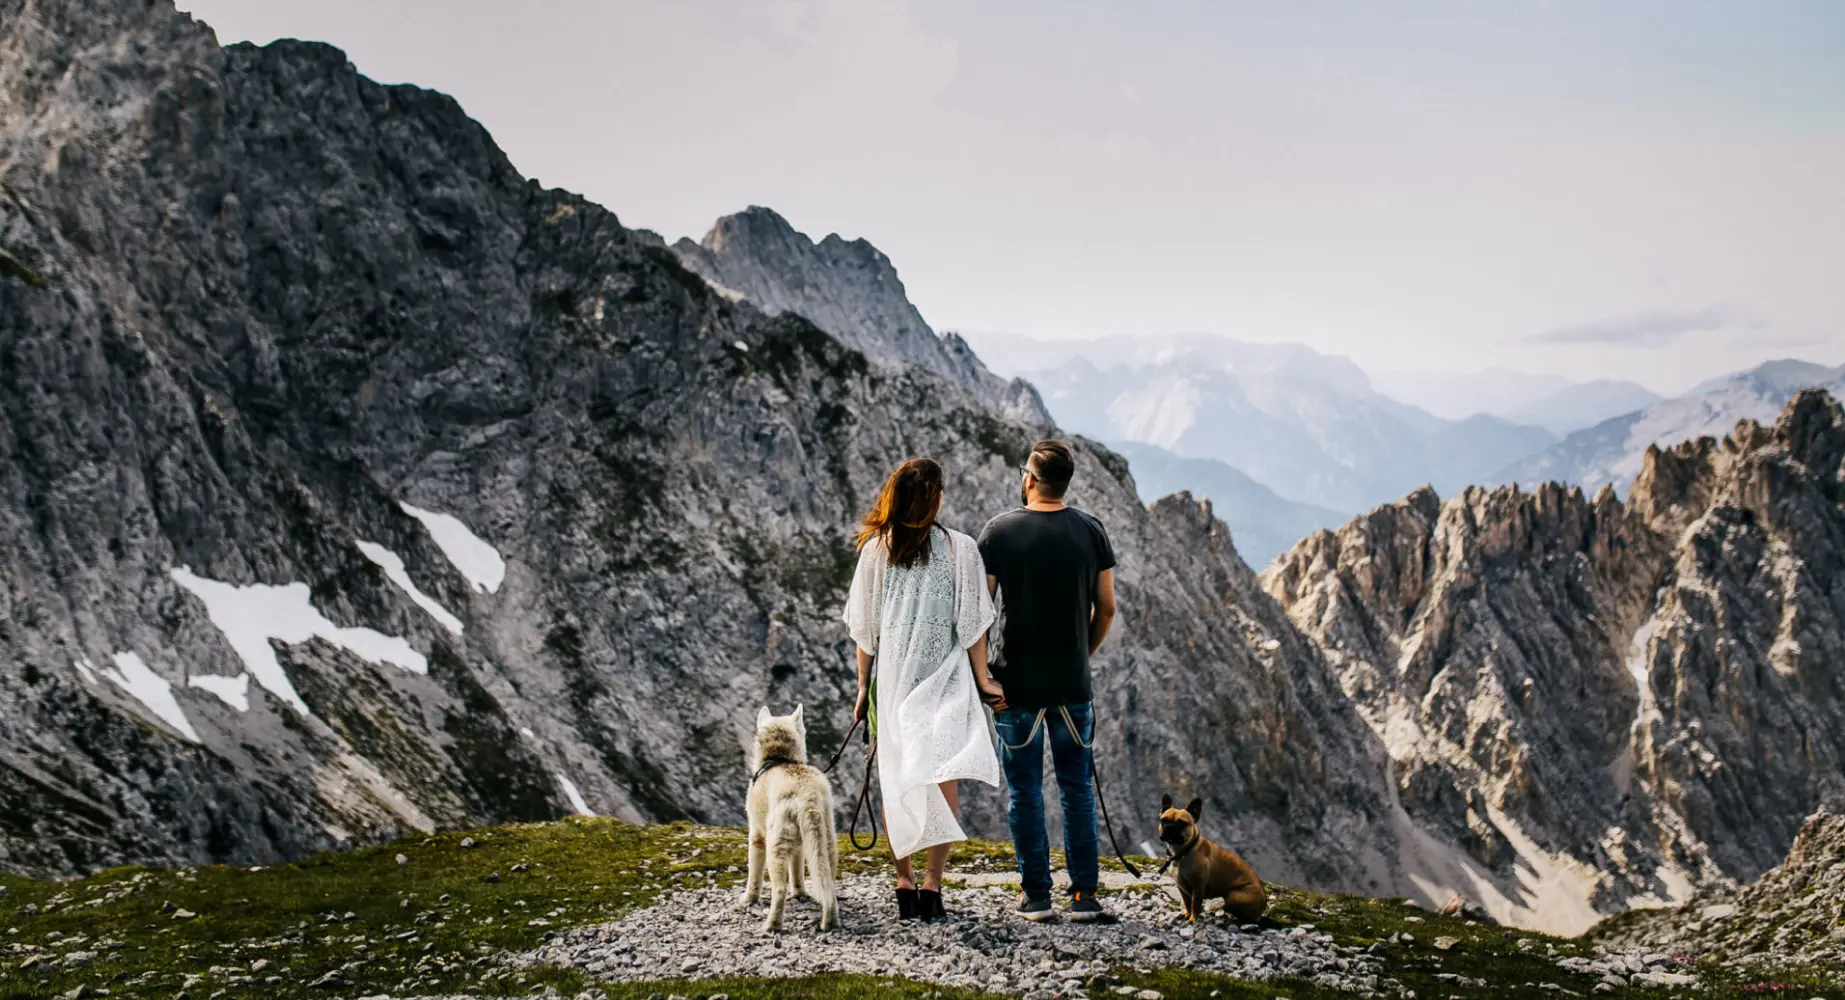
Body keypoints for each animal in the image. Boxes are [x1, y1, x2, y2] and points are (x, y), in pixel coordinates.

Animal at [741, 704, 845, 933]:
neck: (779, 760)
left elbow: (754, 876)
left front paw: (747, 899)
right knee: (828, 887)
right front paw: (799, 894)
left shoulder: (757, 836)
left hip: (776, 844)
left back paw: (771, 925)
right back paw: (830, 922)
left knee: (779, 889)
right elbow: (797, 873)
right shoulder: (799, 846)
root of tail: (808, 797)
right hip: (826, 842)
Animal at [1158, 797, 1261, 929]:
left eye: (1182, 823)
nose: (1169, 827)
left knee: (1245, 918)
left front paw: (1192, 920)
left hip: (1233, 895)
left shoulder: (1198, 888)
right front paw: (1187, 913)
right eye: (1163, 820)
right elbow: (1187, 903)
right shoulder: (1181, 887)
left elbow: (1195, 905)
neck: (1183, 852)